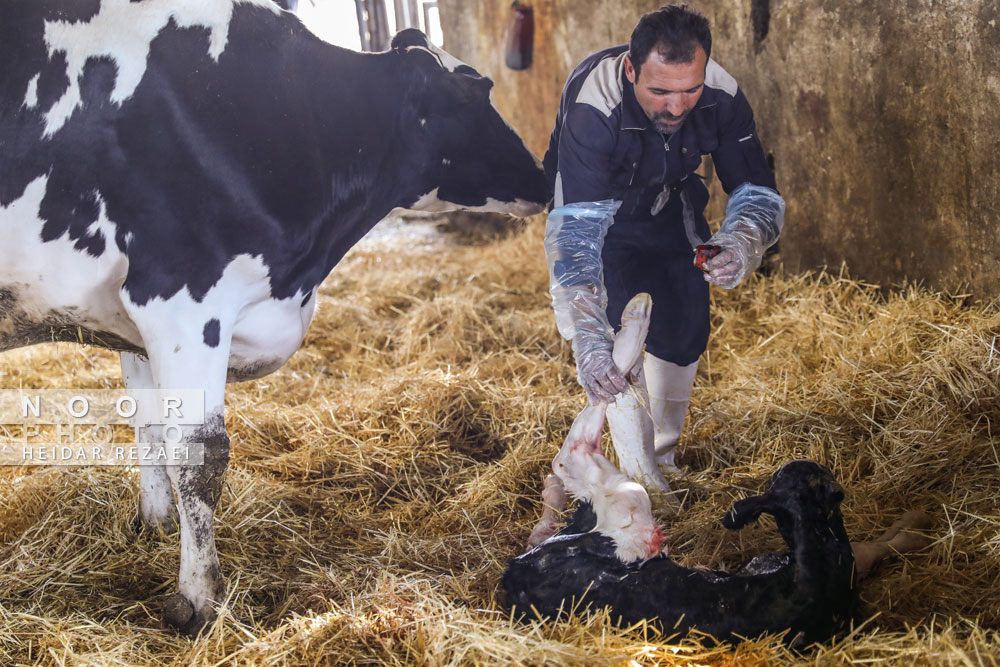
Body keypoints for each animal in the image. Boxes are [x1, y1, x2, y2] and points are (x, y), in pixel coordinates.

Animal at [0, 0, 548, 636]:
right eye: (476, 91)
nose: (543, 175)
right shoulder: (181, 295)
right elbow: (200, 454)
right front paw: (197, 599)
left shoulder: (134, 323)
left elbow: (149, 427)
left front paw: (153, 527)